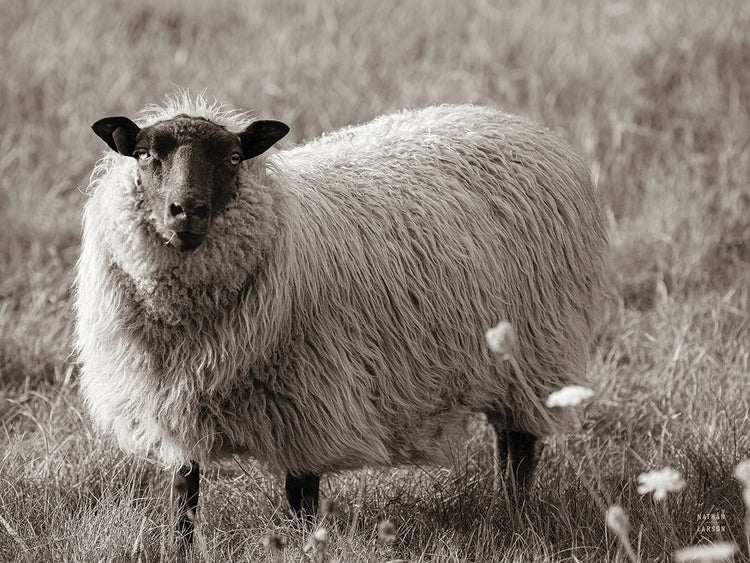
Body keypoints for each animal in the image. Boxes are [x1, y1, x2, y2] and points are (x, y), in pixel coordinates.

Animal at [75, 94, 607, 543]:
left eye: (234, 158)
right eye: (144, 154)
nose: (186, 212)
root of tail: (518, 124)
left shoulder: (309, 401)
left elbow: (301, 497)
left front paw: (304, 546)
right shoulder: (174, 404)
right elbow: (184, 493)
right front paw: (179, 547)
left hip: (537, 347)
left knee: (519, 446)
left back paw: (515, 514)